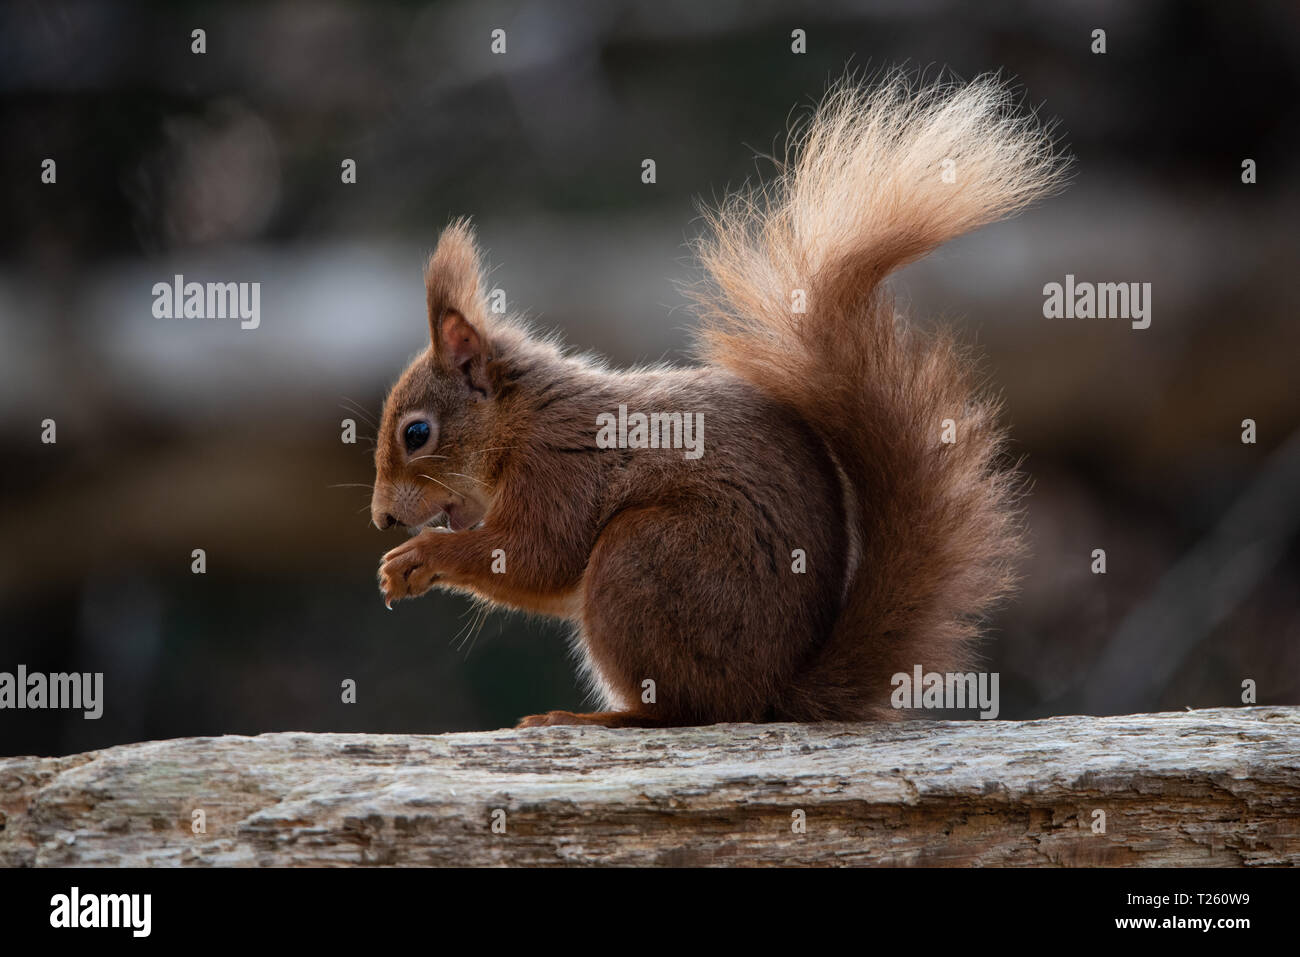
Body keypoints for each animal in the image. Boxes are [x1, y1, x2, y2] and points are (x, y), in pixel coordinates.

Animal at [366, 74, 1066, 728]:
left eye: (416, 434)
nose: (382, 519)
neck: (521, 420)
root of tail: (773, 693)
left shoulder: (560, 470)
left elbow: (538, 558)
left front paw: (417, 558)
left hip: (646, 561)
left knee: (684, 709)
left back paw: (595, 718)